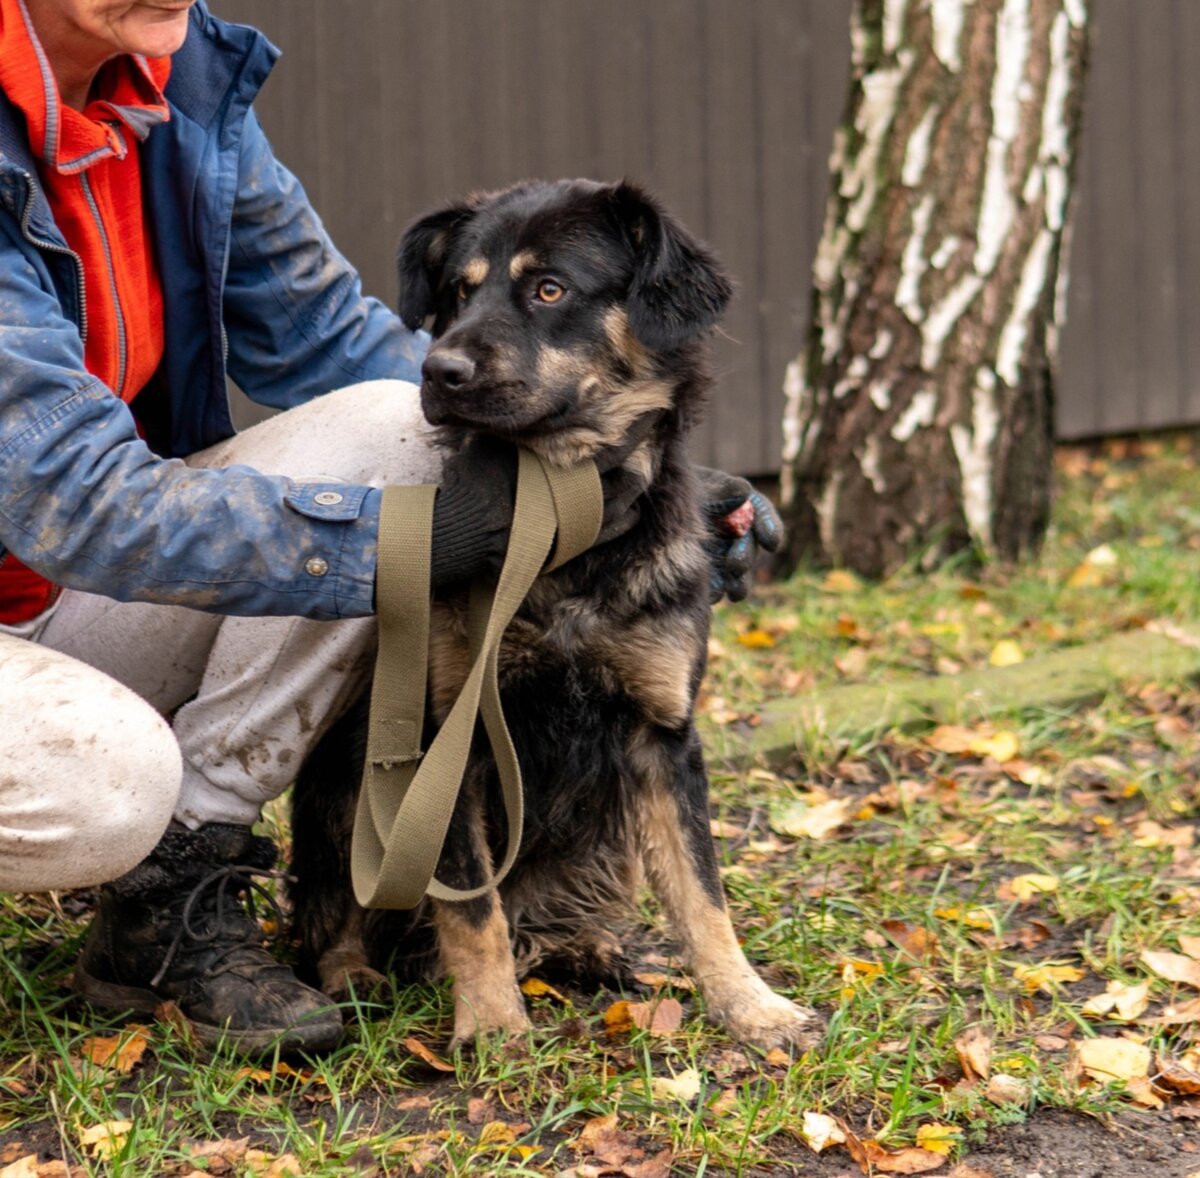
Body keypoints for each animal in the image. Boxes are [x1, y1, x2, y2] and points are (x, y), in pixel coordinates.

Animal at [285, 177, 820, 1050]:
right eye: (458, 293)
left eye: (548, 289)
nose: (439, 369)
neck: (560, 531)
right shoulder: (447, 741)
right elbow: (473, 907)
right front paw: (493, 1026)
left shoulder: (663, 734)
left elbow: (702, 892)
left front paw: (750, 1005)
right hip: (344, 788)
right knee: (335, 911)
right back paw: (353, 973)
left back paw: (587, 949)